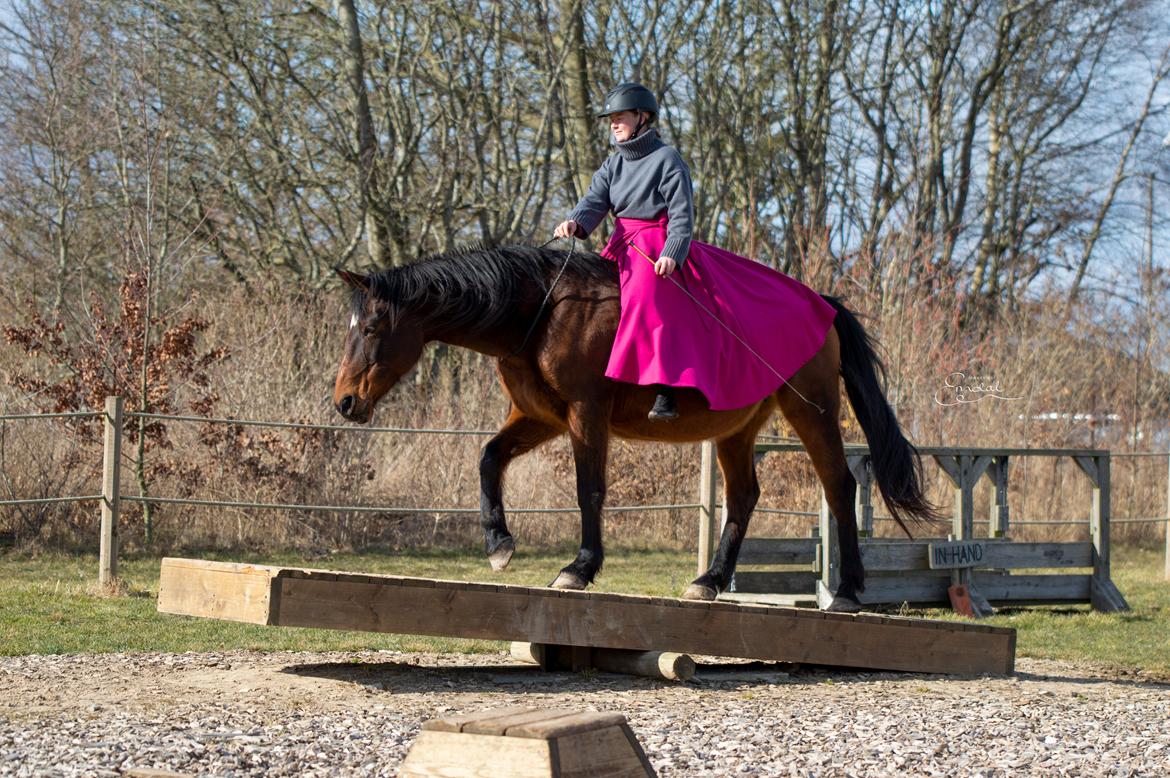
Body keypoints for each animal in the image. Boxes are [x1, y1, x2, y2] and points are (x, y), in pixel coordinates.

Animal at [334, 245, 935, 608]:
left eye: (371, 327)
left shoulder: (586, 414)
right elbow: (488, 459)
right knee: (743, 496)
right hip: (738, 428)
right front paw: (499, 543)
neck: (543, 309)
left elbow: (590, 490)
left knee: (839, 486)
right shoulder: (539, 418)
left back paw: (850, 590)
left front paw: (579, 568)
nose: (344, 402)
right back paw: (709, 581)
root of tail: (823, 305)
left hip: (812, 410)